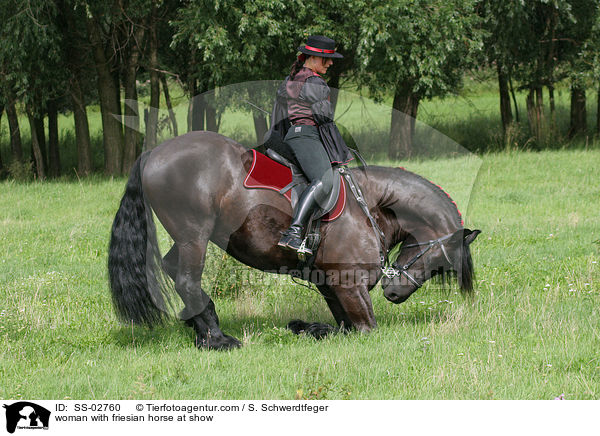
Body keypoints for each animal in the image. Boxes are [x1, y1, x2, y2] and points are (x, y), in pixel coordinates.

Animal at [108, 131, 480, 350]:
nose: (395, 294)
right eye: (437, 261)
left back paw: (200, 327)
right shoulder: (349, 286)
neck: (370, 206)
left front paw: (304, 326)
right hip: (193, 235)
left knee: (175, 271)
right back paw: (217, 338)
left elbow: (341, 327)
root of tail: (154, 153)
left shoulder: (330, 285)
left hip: (187, 236)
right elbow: (364, 329)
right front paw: (307, 328)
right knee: (186, 279)